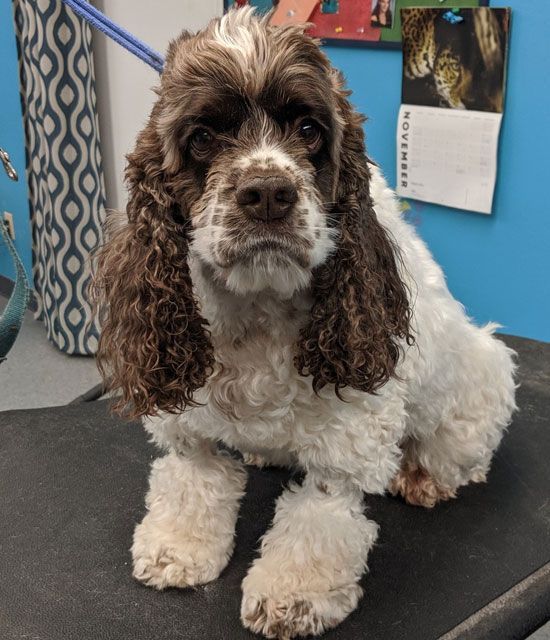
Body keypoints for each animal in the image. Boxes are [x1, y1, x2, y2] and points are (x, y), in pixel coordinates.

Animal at [92, 7, 520, 636]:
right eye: (202, 138)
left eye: (310, 130)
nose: (269, 192)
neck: (256, 309)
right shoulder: (188, 422)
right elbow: (193, 481)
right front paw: (178, 548)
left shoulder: (348, 435)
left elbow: (318, 518)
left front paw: (293, 596)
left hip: (479, 376)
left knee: (462, 448)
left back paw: (423, 476)